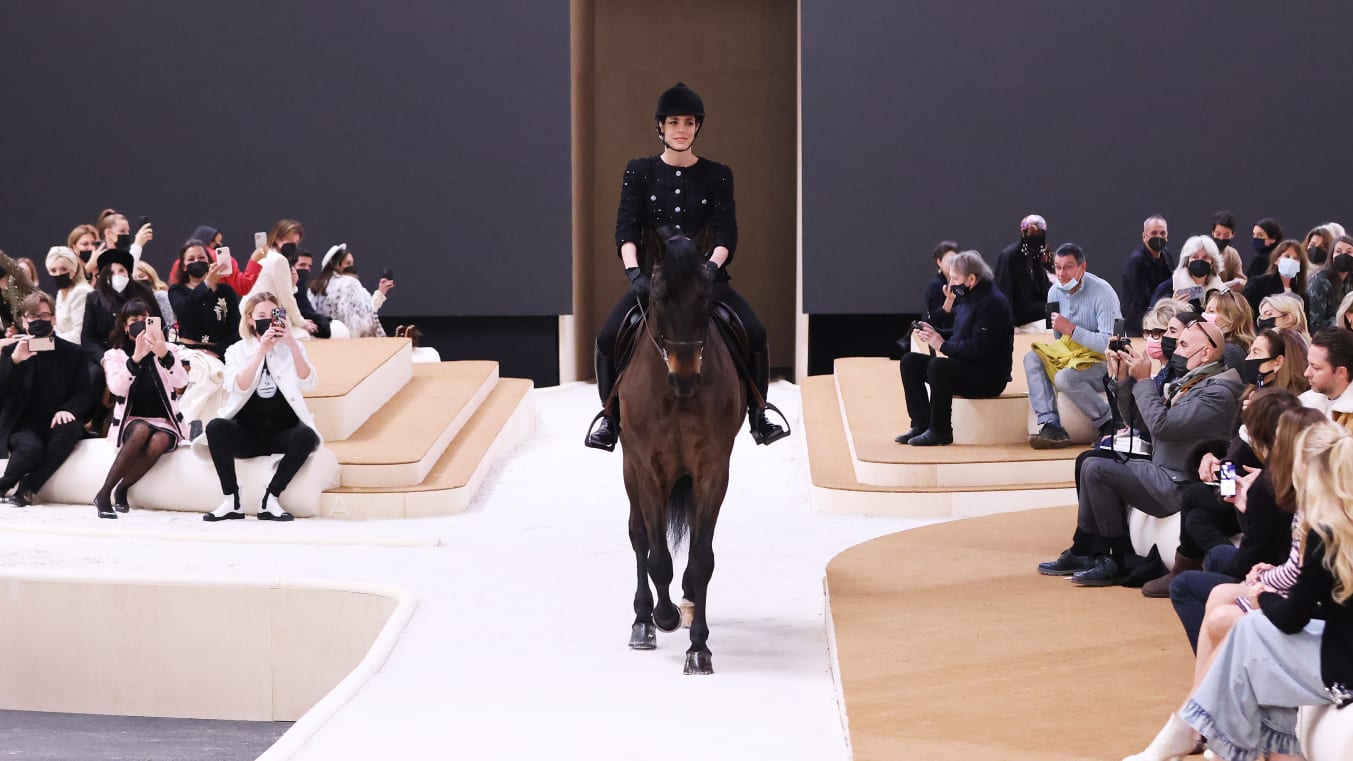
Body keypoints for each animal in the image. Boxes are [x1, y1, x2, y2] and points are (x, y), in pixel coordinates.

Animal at [619, 234, 746, 671]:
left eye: (705, 296)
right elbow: (656, 554)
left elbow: (702, 558)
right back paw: (643, 621)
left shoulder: (712, 469)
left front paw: (698, 647)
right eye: (657, 295)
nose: (686, 376)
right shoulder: (647, 467)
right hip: (629, 467)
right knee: (639, 536)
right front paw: (664, 616)